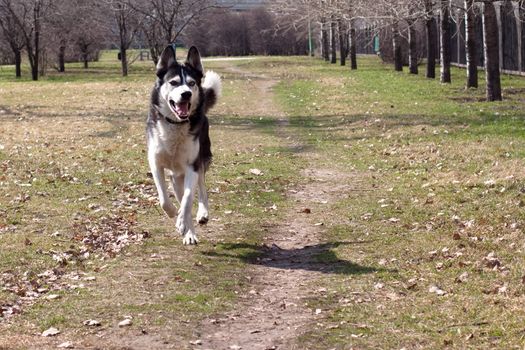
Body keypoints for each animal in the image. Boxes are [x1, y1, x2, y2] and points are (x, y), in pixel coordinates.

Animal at [147, 45, 221, 243]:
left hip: (201, 161)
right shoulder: (156, 163)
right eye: (173, 82)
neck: (176, 125)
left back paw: (201, 215)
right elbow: (164, 199)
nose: (186, 93)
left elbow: (188, 200)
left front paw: (181, 220)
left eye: (191, 83)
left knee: (201, 191)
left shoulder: (192, 167)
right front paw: (173, 213)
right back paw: (189, 232)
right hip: (176, 176)